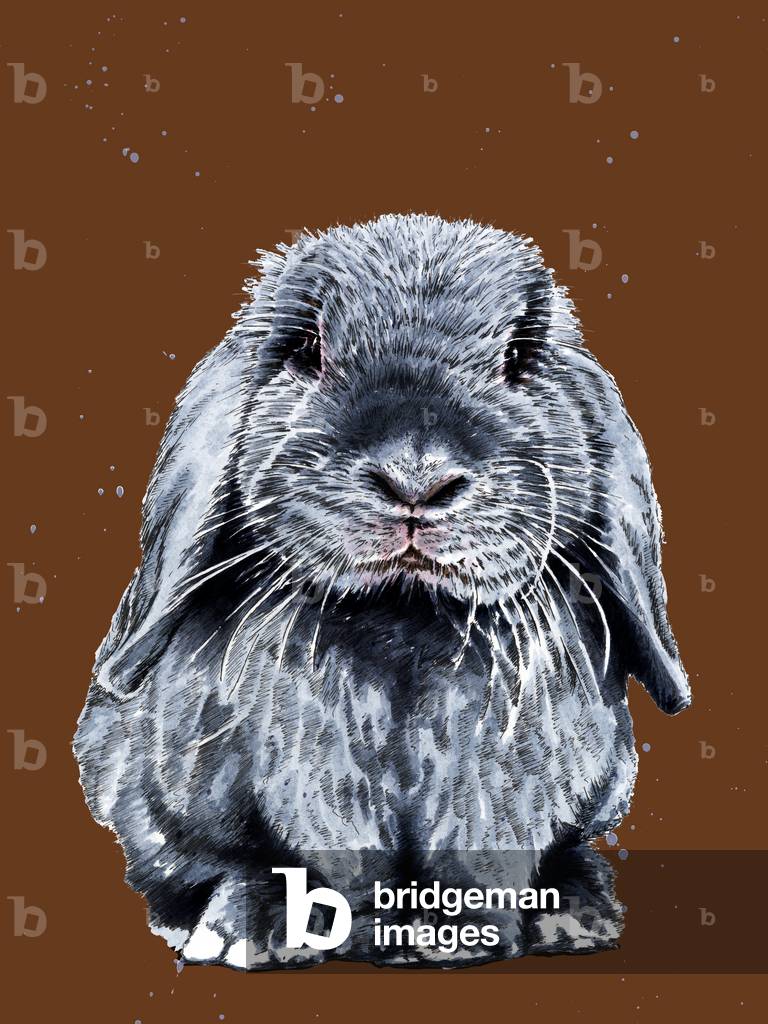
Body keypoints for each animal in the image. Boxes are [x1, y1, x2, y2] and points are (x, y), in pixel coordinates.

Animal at [73, 213, 690, 969]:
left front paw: (466, 935)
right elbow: (269, 858)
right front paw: (258, 928)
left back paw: (575, 912)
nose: (415, 476)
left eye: (520, 357)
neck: (403, 626)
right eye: (306, 349)